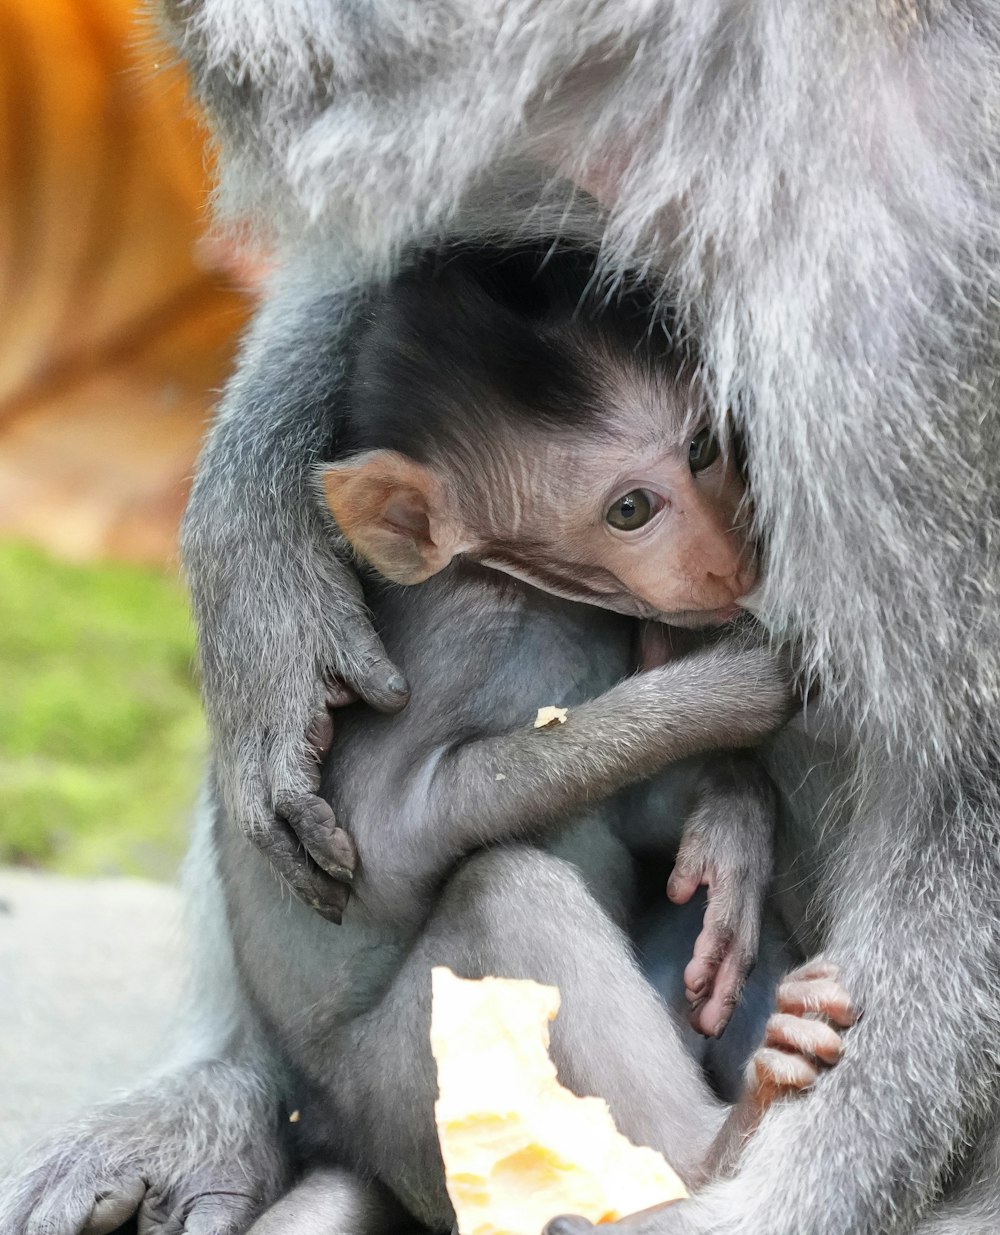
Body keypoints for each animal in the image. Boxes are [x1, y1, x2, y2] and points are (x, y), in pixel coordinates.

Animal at [164, 2, 987, 1235]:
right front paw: (721, 696)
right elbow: (396, 829)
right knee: (503, 896)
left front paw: (725, 819)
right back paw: (714, 1146)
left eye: (706, 447)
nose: (731, 554)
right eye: (630, 509)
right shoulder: (462, 646)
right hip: (408, 1095)